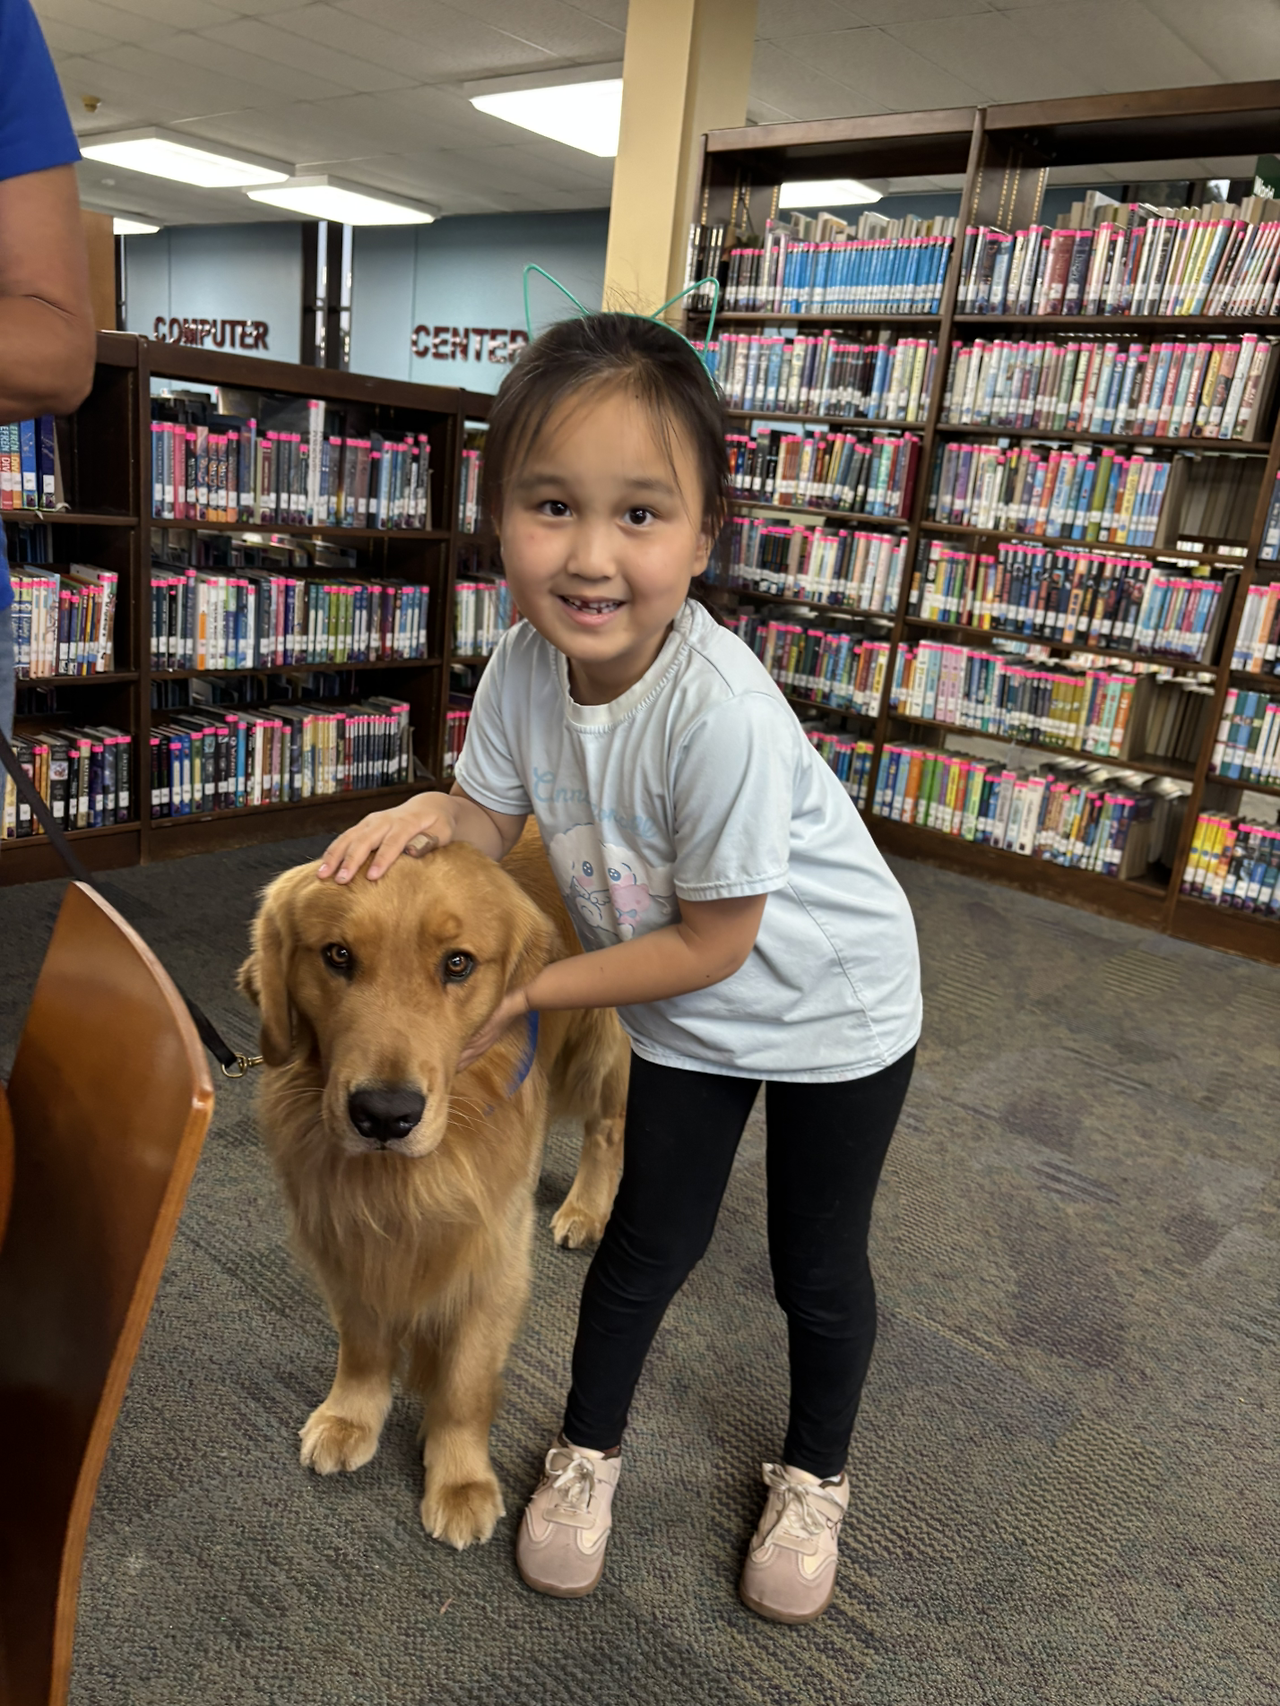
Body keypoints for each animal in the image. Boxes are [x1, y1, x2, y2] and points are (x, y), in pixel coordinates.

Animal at [237, 825, 629, 1549]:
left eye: (458, 964)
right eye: (337, 955)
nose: (385, 1115)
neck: (404, 1185)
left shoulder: (492, 1258)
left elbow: (465, 1384)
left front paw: (461, 1481)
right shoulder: (346, 1237)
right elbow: (364, 1344)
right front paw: (352, 1415)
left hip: (604, 1046)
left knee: (608, 1129)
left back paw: (587, 1208)